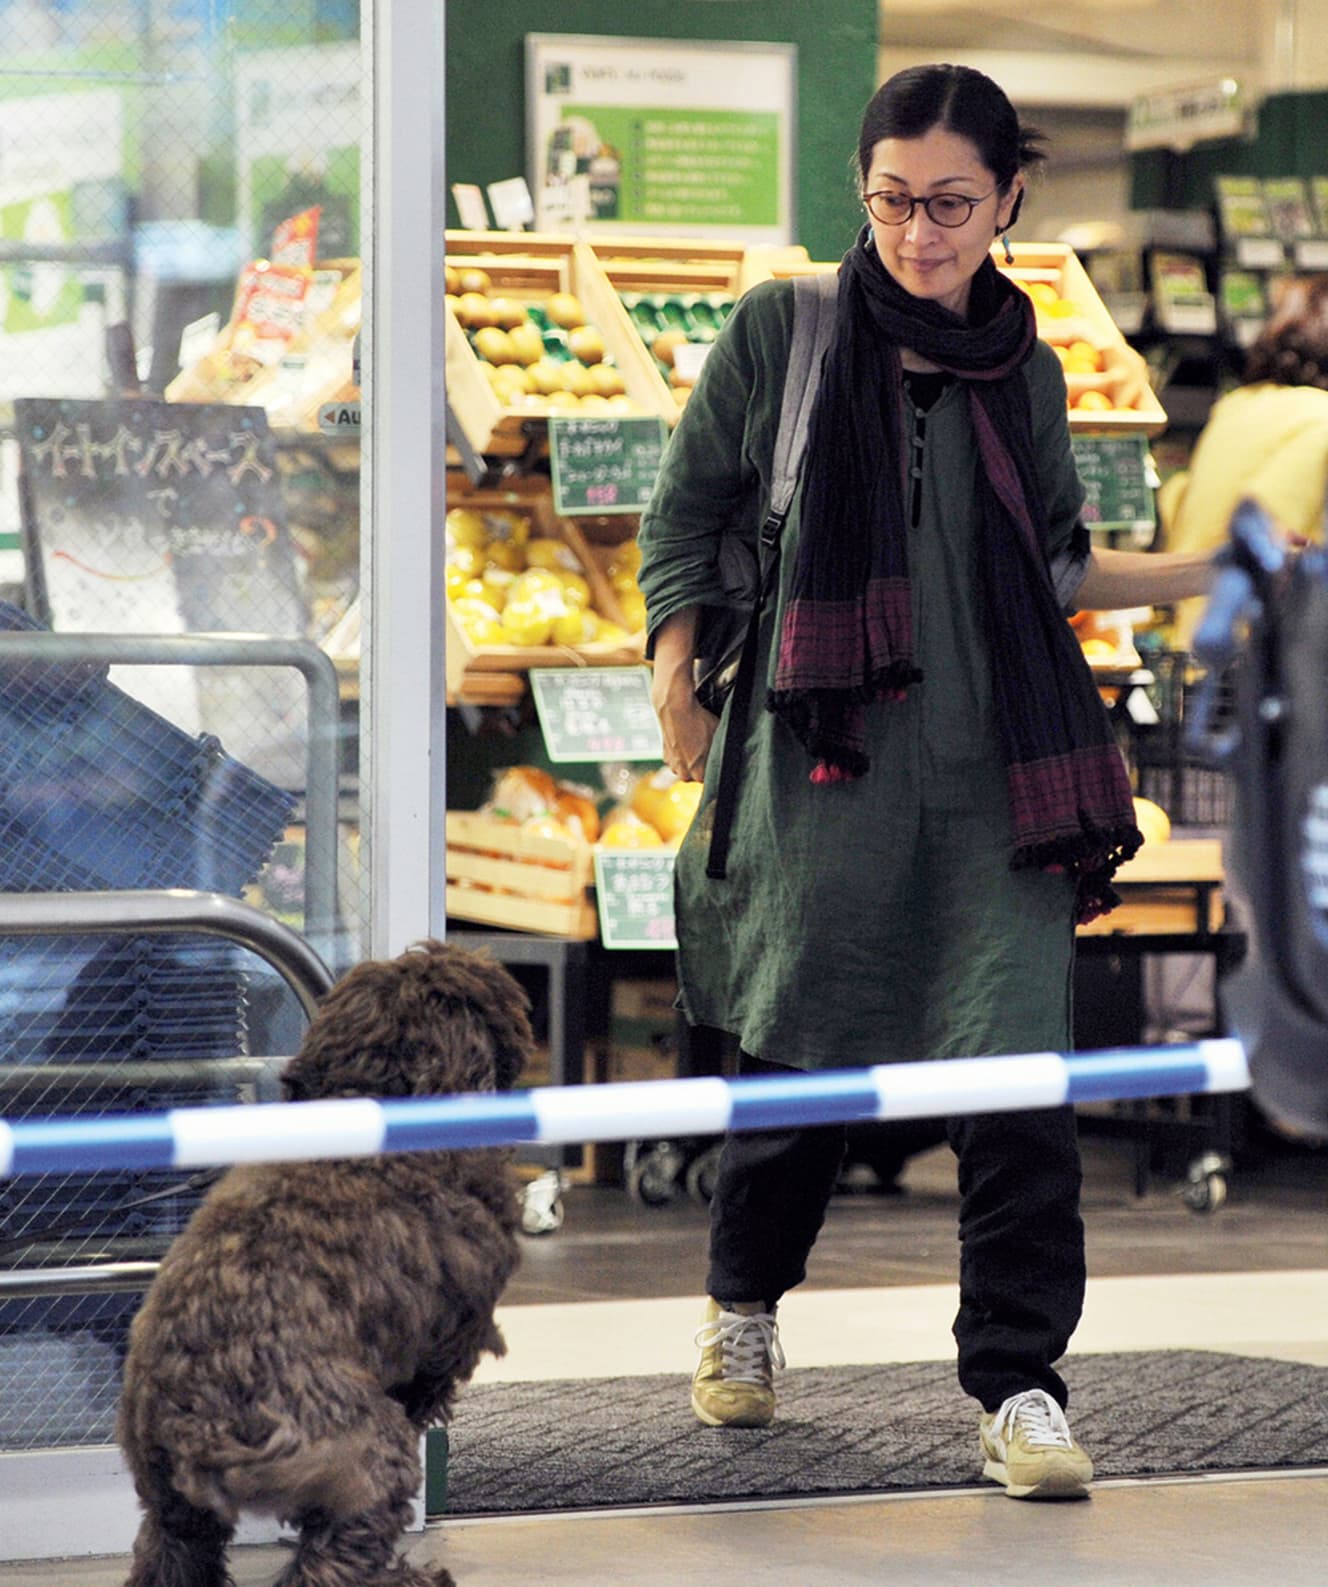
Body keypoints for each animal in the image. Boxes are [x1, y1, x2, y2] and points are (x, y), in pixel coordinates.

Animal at [116, 939, 533, 1587]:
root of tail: (199, 1424)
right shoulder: (453, 1332)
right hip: (369, 1459)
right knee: (326, 1562)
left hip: (173, 1510)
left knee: (171, 1554)